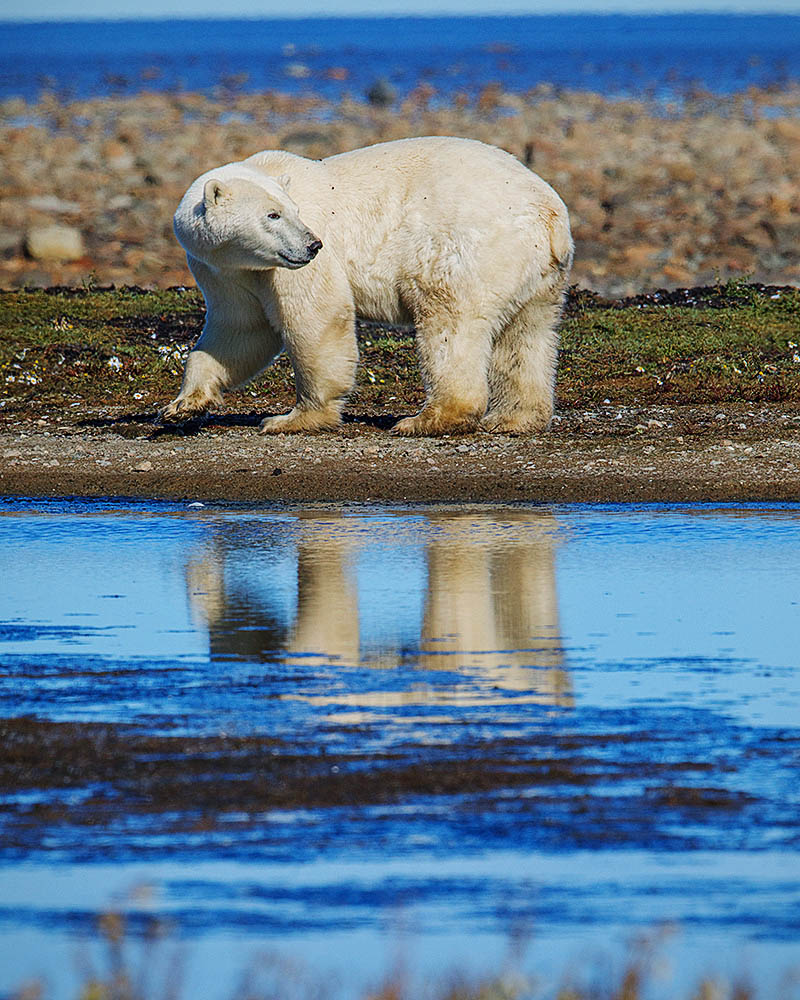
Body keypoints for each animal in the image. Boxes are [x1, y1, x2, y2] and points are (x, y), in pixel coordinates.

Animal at [166, 137, 572, 434]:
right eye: (273, 215)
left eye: (293, 211)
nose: (312, 245)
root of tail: (550, 216)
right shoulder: (223, 271)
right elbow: (240, 329)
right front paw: (183, 405)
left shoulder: (286, 268)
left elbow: (316, 318)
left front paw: (291, 419)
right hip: (535, 276)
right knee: (525, 336)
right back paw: (513, 418)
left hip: (467, 248)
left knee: (448, 322)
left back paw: (425, 419)